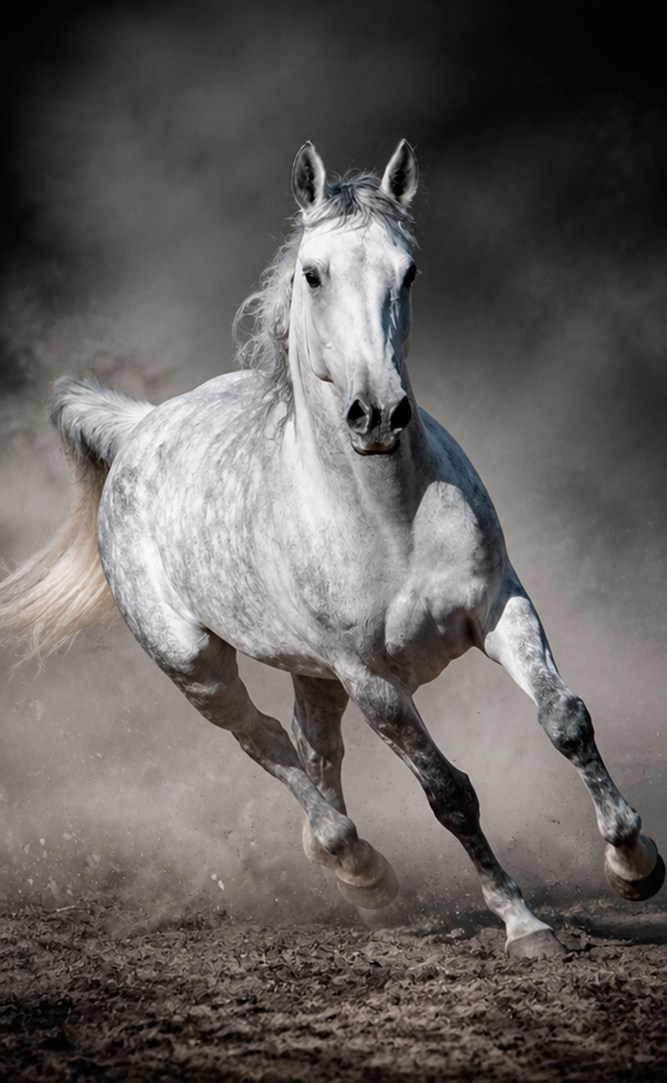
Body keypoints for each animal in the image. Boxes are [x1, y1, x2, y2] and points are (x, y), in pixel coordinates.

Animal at [0, 141, 663, 957]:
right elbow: (448, 792)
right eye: (312, 273)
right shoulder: (371, 678)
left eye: (408, 271)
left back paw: (355, 871)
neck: (389, 518)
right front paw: (522, 922)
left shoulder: (502, 608)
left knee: (315, 747)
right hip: (197, 665)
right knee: (265, 743)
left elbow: (566, 719)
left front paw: (633, 864)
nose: (376, 413)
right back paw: (358, 868)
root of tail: (140, 426)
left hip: (312, 672)